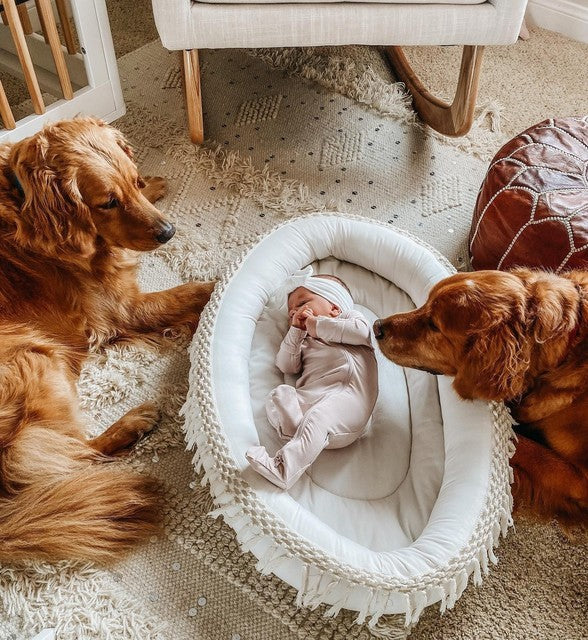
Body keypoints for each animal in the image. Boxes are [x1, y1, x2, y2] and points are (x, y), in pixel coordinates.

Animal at [0, 117, 215, 564]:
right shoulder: (124, 309)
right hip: (36, 359)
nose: (168, 231)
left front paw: (155, 184)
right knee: (73, 457)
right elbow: (188, 292)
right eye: (107, 203)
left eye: (131, 183)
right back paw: (132, 425)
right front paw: (222, 282)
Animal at [374, 268, 584, 528]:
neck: (564, 354)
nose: (377, 326)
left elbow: (517, 445)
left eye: (434, 325)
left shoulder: (580, 481)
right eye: (425, 302)